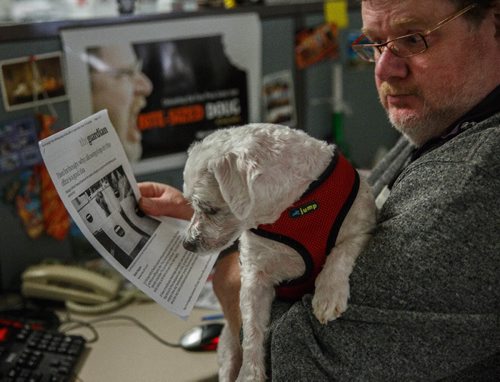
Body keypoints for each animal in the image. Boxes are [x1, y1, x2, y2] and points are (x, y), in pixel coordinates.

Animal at [183, 124, 376, 380]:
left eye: (209, 209)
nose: (187, 244)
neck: (289, 209)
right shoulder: (255, 276)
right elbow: (252, 329)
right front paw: (250, 373)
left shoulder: (364, 229)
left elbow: (341, 252)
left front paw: (328, 293)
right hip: (227, 350)